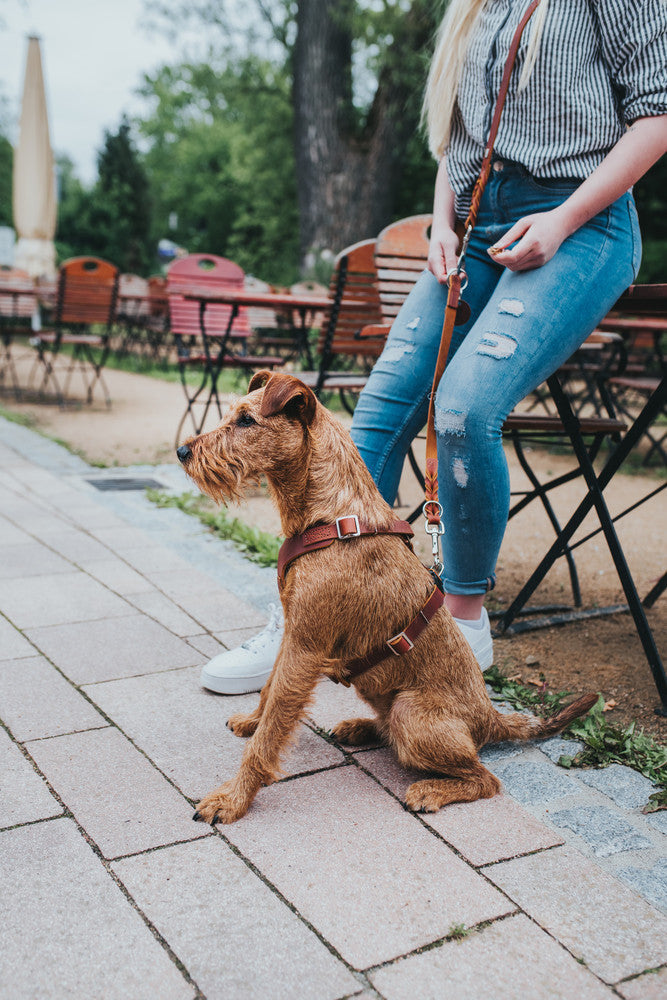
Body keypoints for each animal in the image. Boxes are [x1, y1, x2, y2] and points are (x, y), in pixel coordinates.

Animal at [176, 372, 596, 824]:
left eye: (247, 420)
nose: (182, 451)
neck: (334, 517)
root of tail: (491, 717)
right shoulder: (293, 633)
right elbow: (269, 690)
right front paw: (253, 721)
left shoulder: (304, 648)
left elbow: (271, 731)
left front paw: (232, 798)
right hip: (389, 701)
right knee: (396, 733)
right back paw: (359, 728)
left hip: (411, 712)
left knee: (484, 777)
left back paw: (430, 789)